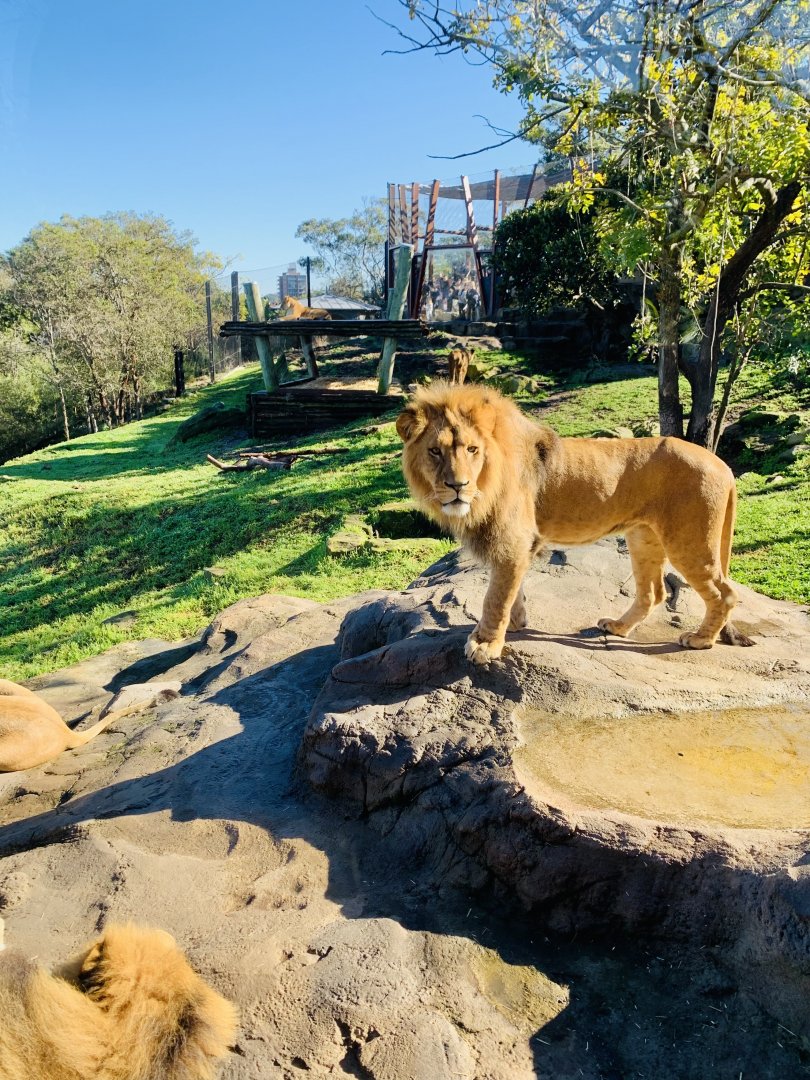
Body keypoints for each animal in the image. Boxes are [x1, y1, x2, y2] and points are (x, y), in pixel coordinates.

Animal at [397, 381, 754, 664]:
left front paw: (485, 644)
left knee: (724, 594)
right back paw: (618, 627)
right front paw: (517, 623)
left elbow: (495, 597)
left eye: (472, 449)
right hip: (643, 538)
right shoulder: (521, 543)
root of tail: (722, 464)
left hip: (689, 540)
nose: (457, 485)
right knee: (653, 593)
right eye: (434, 451)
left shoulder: (511, 541)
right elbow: (513, 589)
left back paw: (700, 639)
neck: (487, 480)